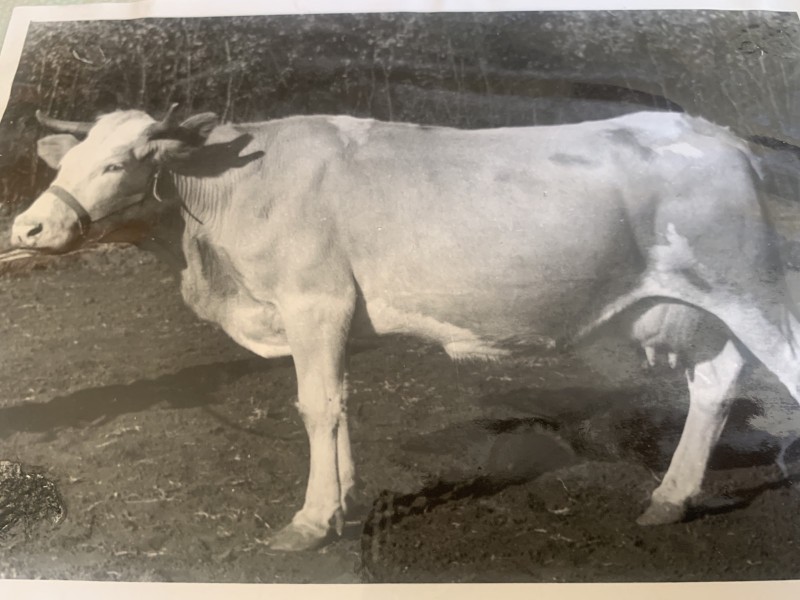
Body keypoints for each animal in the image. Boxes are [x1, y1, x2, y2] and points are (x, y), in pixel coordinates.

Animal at [10, 105, 800, 551]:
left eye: (116, 163)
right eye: (69, 160)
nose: (28, 228)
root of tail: (722, 135)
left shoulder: (314, 300)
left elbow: (315, 405)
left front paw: (309, 521)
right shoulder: (329, 316)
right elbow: (339, 403)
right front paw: (345, 502)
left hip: (752, 290)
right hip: (699, 308)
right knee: (716, 381)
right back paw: (670, 498)